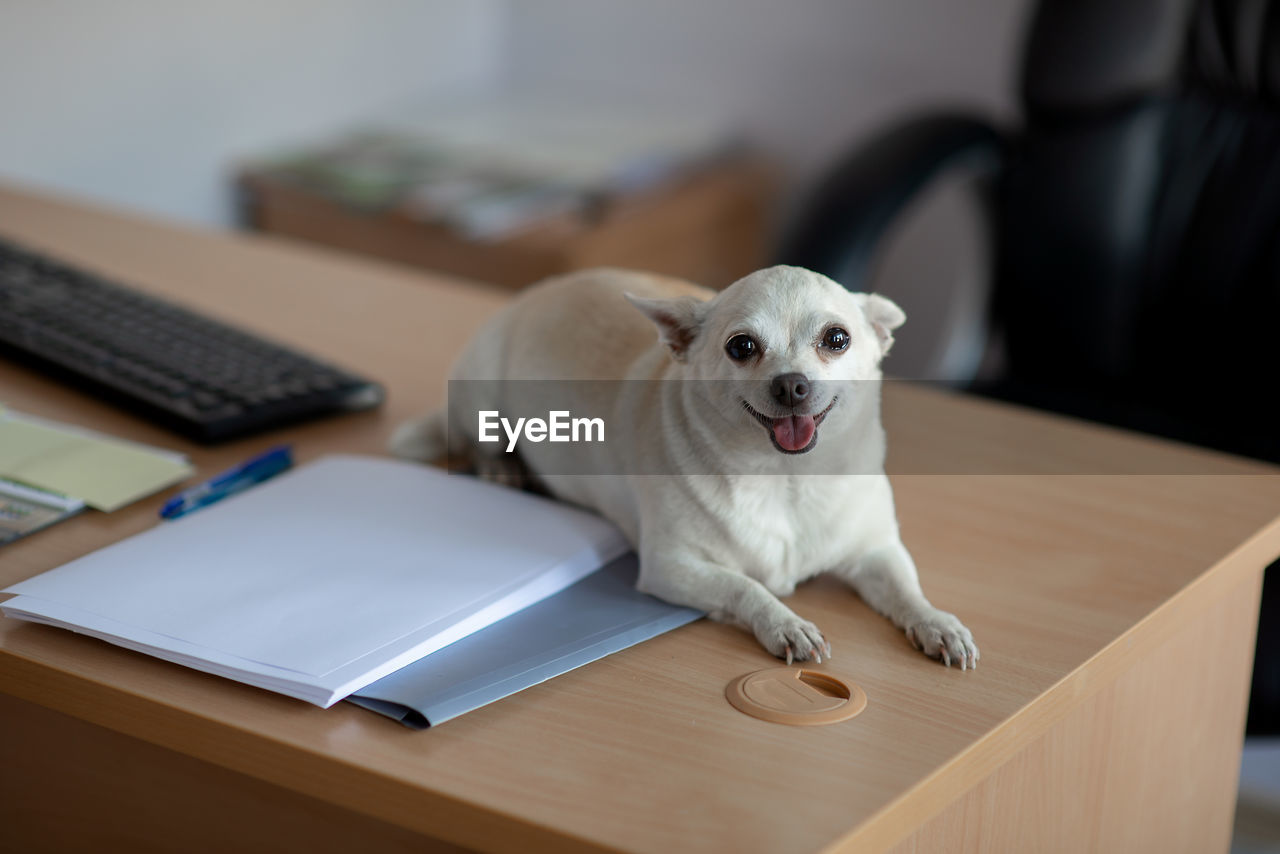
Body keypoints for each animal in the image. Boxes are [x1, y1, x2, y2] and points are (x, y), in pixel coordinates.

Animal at [389, 265, 977, 665]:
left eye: (837, 339)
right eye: (742, 347)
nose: (791, 384)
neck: (783, 479)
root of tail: (538, 291)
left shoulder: (876, 552)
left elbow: (907, 589)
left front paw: (937, 624)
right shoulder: (672, 568)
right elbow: (746, 588)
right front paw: (785, 623)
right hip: (480, 395)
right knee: (480, 440)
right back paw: (502, 469)